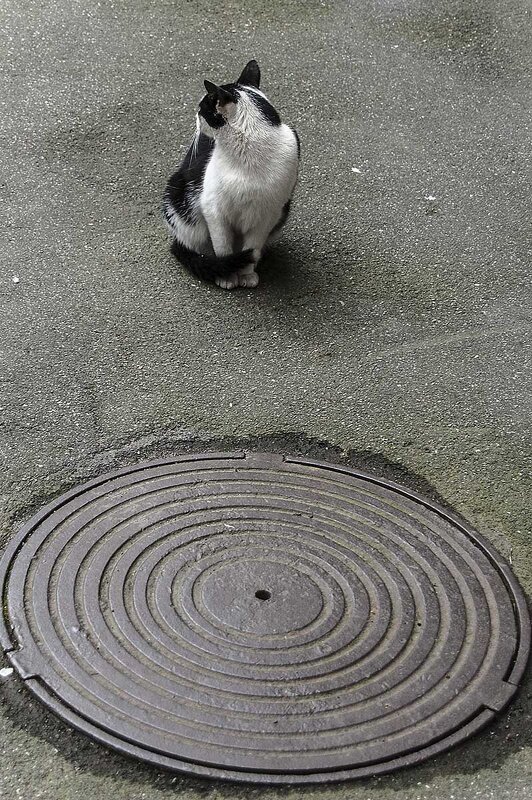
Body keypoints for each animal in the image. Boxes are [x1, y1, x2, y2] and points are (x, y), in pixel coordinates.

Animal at [162, 61, 300, 290]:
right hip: (180, 199)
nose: (195, 119)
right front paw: (227, 275)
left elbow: (252, 248)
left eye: (201, 110)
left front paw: (246, 274)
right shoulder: (213, 210)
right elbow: (222, 247)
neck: (247, 155)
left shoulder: (266, 215)